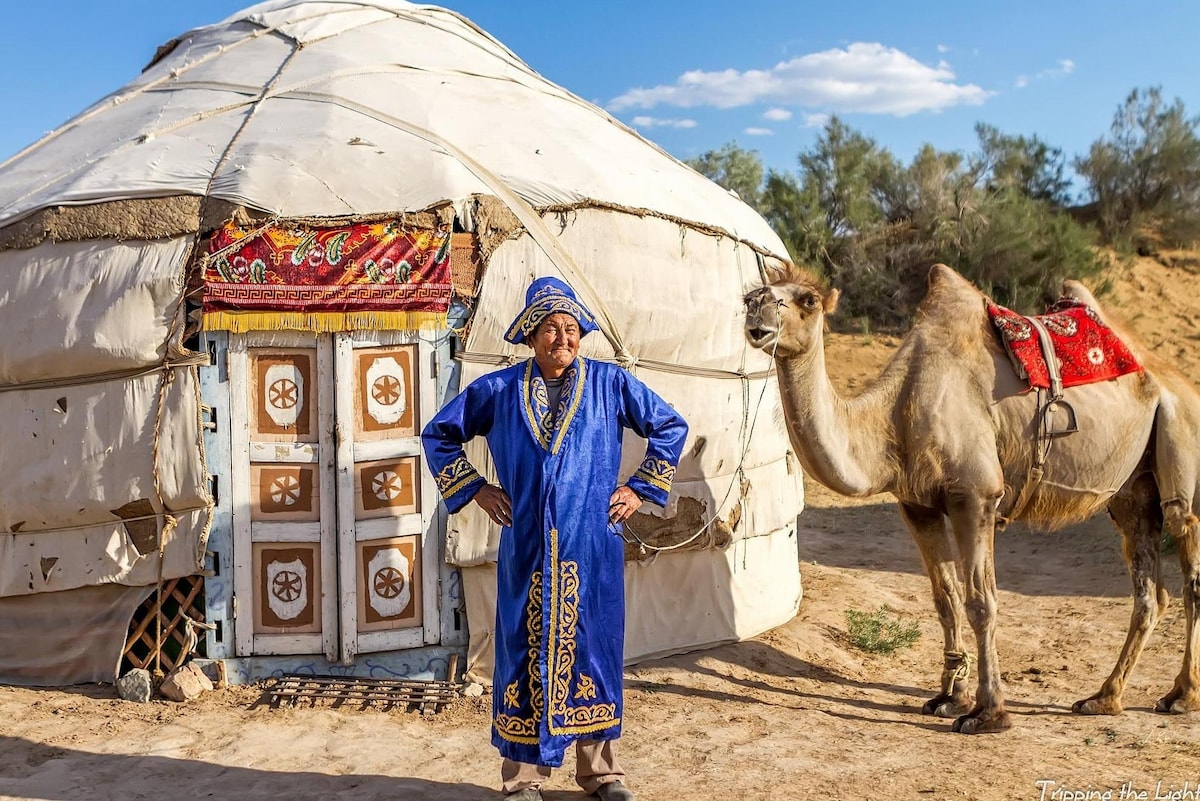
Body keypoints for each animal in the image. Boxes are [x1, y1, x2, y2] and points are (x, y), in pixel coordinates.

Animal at [744, 261, 1200, 733]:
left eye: (807, 300)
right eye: (753, 293)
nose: (755, 305)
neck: (895, 415)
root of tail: (1178, 378)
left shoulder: (976, 495)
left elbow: (982, 603)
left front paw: (988, 713)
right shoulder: (918, 504)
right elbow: (945, 600)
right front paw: (950, 698)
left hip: (1178, 427)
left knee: (1185, 541)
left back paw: (1180, 695)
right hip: (1131, 490)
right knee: (1149, 587)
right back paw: (1104, 697)